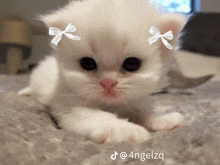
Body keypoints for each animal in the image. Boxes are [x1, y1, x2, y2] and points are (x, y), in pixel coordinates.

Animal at [17, 0, 206, 143]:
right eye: (87, 64)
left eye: (132, 64)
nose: (108, 82)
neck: (114, 106)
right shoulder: (71, 108)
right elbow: (101, 118)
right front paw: (125, 130)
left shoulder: (137, 100)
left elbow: (144, 112)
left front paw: (161, 120)